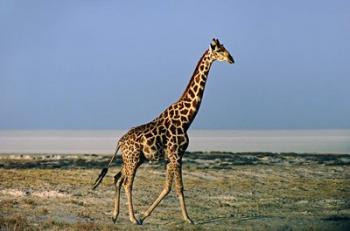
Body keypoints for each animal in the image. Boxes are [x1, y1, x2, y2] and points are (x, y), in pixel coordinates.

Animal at [92, 38, 235, 225]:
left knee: (117, 178)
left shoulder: (170, 157)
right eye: (219, 50)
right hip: (133, 159)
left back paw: (115, 216)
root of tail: (120, 142)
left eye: (226, 48)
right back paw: (132, 218)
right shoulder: (176, 154)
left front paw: (145, 215)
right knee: (127, 183)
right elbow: (179, 187)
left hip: (132, 159)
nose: (232, 59)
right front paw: (189, 219)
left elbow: (167, 187)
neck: (187, 119)